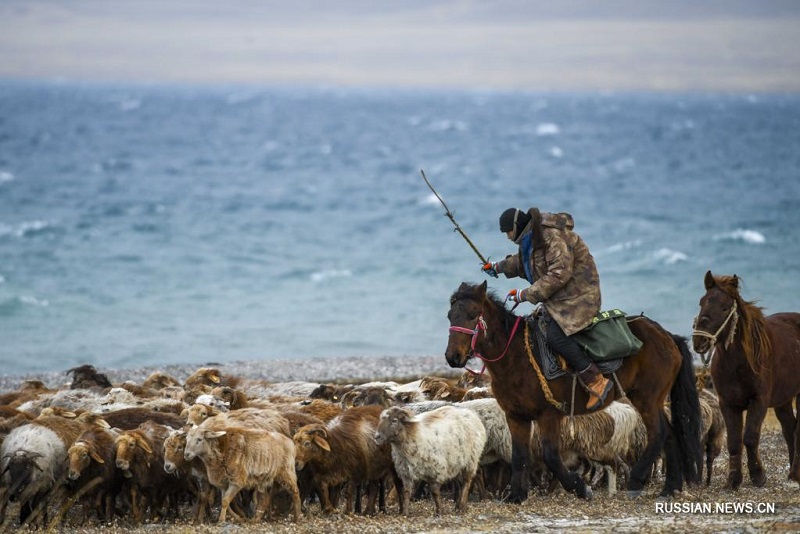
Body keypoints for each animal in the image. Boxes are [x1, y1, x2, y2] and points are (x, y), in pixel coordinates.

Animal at [444, 282, 700, 504]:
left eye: (472, 314)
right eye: (450, 315)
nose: (453, 356)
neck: (516, 356)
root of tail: (667, 337)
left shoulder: (549, 414)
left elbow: (551, 456)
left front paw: (580, 488)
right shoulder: (515, 416)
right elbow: (519, 457)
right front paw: (516, 495)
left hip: (646, 399)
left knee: (659, 432)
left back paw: (637, 481)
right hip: (653, 400)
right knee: (671, 434)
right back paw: (670, 487)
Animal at [692, 272, 796, 490]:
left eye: (725, 307)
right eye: (701, 302)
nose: (700, 341)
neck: (738, 363)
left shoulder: (759, 401)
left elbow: (749, 437)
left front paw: (758, 476)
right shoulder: (728, 403)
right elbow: (733, 441)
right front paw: (733, 480)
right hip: (783, 400)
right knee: (790, 428)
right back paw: (792, 474)